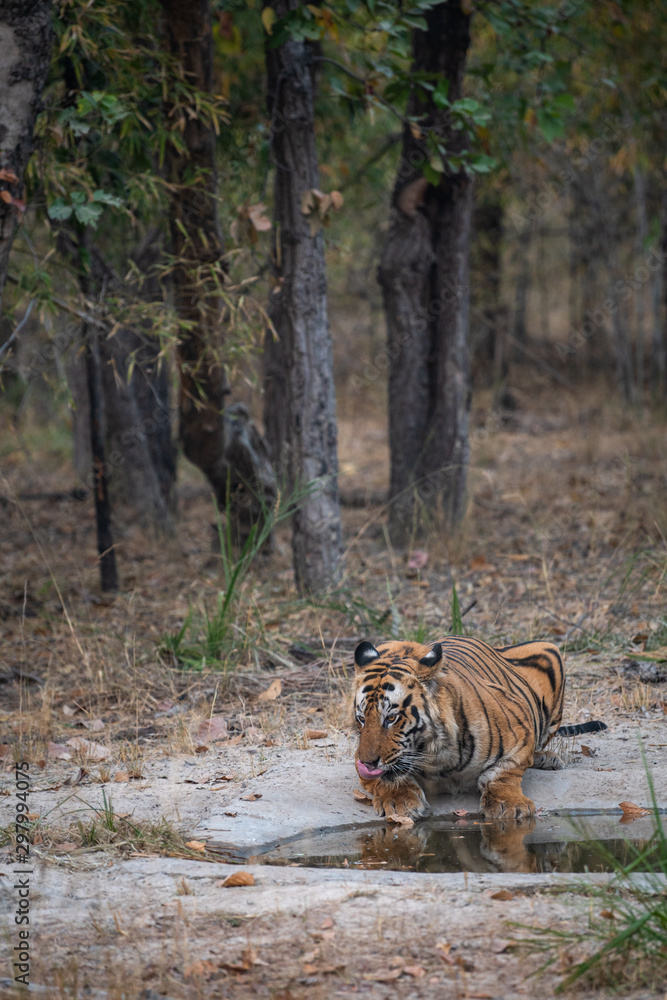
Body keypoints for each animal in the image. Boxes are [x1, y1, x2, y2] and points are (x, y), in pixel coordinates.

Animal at [353, 636, 606, 822]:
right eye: (361, 719)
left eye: (391, 718)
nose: (368, 762)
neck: (433, 757)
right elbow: (386, 779)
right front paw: (399, 800)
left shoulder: (521, 730)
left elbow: (503, 771)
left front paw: (508, 805)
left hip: (551, 651)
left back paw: (547, 759)